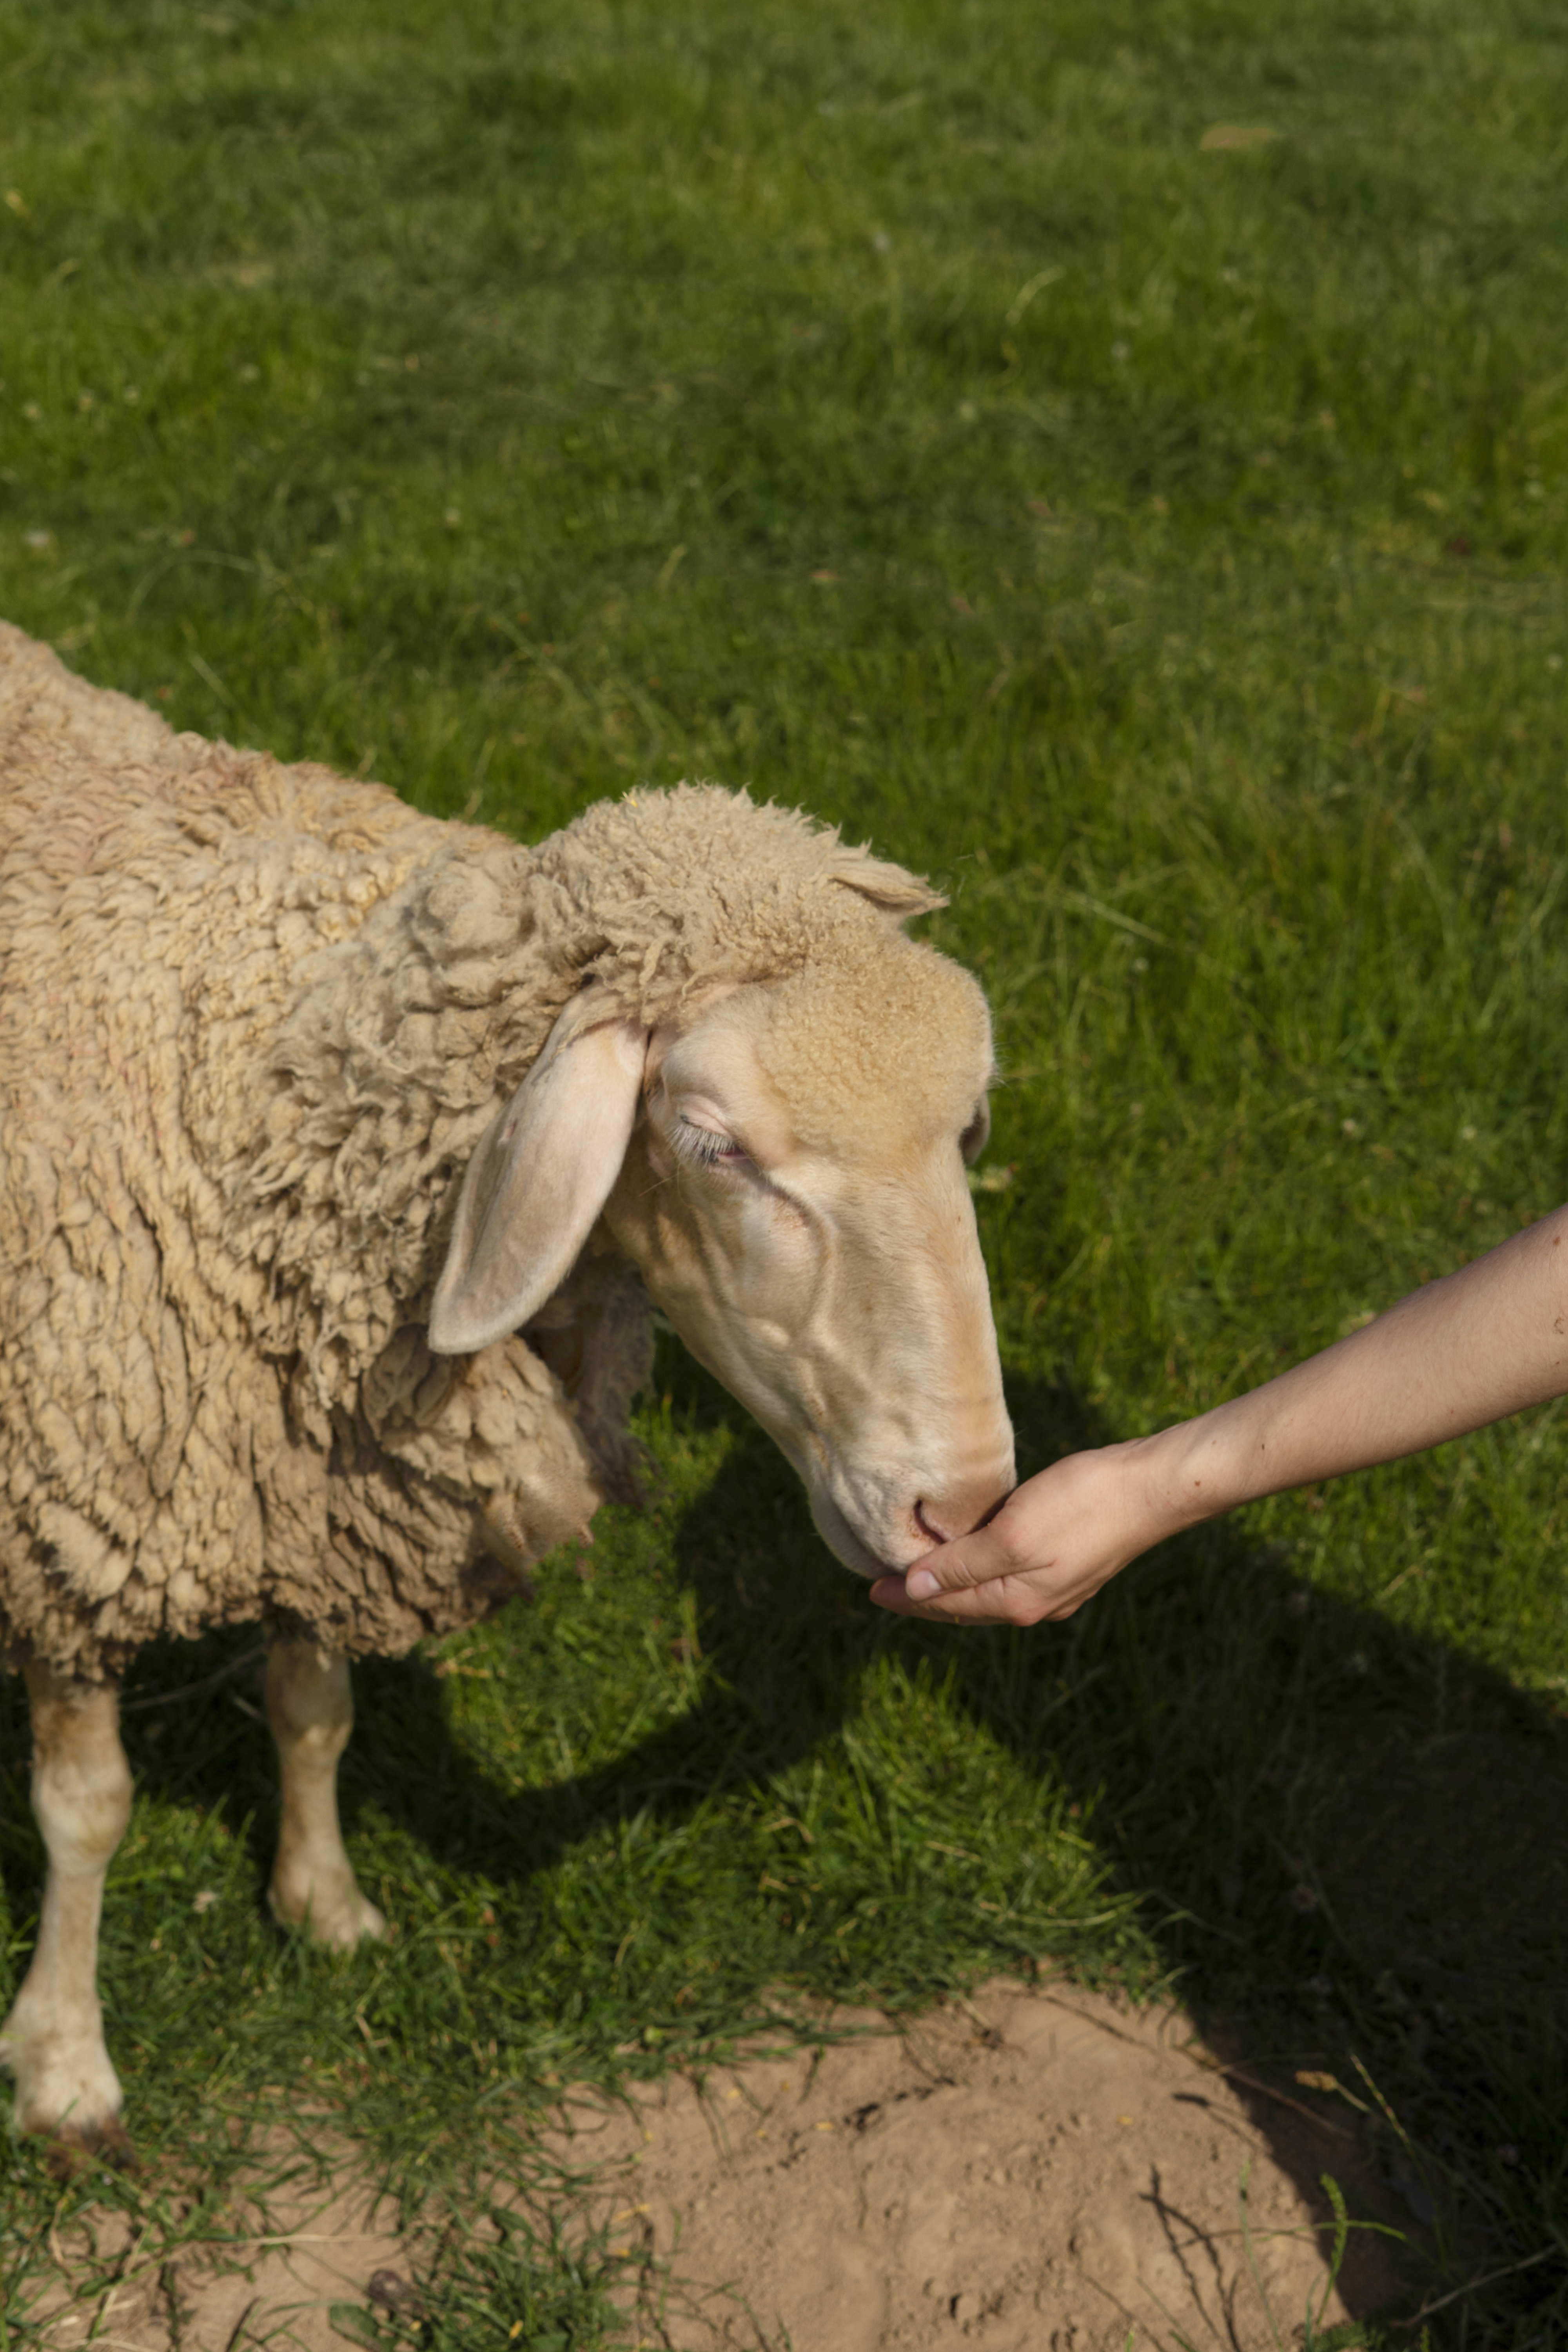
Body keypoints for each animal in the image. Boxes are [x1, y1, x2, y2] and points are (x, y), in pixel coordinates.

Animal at [0, 620, 1015, 2154]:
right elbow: (87, 1807)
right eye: (714, 1146)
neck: (280, 1096)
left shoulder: (323, 1491)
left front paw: (327, 1903)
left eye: (971, 1126)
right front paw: (63, 2062)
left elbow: (315, 1708)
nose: (962, 1508)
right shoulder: (70, 1528)